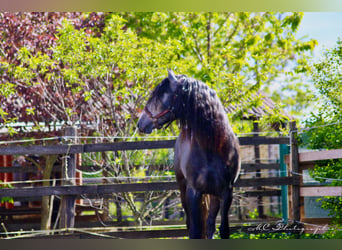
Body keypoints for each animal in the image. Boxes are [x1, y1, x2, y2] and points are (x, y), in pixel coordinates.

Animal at [137, 70, 240, 238]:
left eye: (161, 95)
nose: (140, 123)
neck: (211, 148)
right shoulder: (193, 193)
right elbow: (195, 230)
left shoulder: (226, 193)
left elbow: (223, 230)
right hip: (183, 189)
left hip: (214, 195)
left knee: (210, 225)